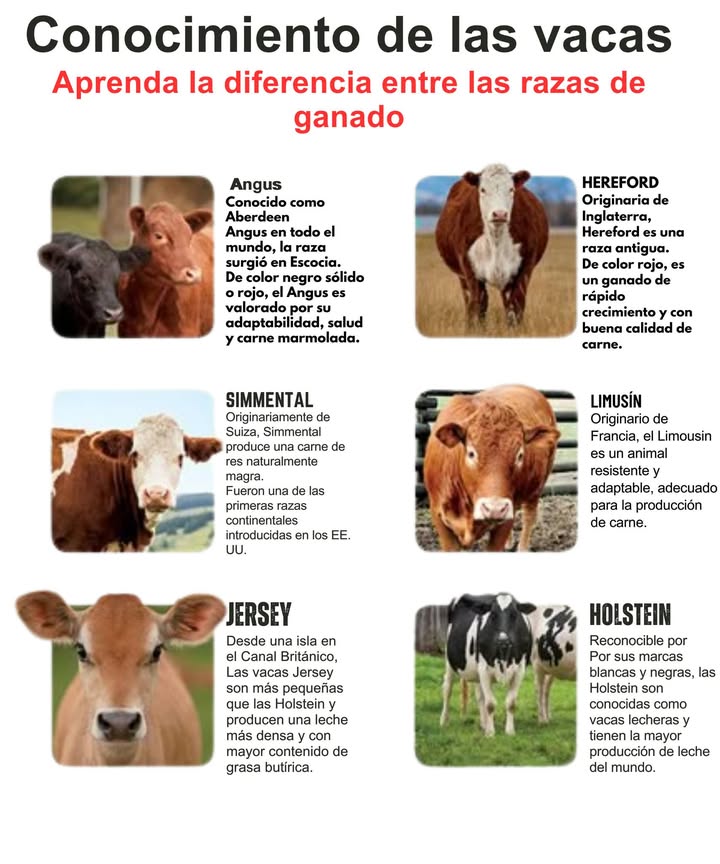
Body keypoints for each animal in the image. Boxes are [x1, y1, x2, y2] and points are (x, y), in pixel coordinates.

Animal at [423, 385, 560, 552]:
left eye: (520, 455)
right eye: (471, 453)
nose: (495, 508)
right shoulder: (438, 516)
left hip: (537, 487)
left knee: (529, 516)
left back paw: (522, 547)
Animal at [435, 164, 549, 327]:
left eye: (511, 189)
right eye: (482, 189)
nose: (500, 214)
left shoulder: (525, 267)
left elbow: (516, 305)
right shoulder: (469, 268)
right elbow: (478, 305)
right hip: (462, 277)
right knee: (470, 300)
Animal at [440, 593, 536, 736]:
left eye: (514, 614)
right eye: (493, 615)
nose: (503, 640)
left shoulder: (520, 669)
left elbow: (511, 703)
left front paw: (509, 731)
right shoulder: (484, 669)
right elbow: (490, 704)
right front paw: (490, 733)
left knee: (480, 696)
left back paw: (483, 724)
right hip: (450, 661)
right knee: (447, 689)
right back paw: (444, 721)